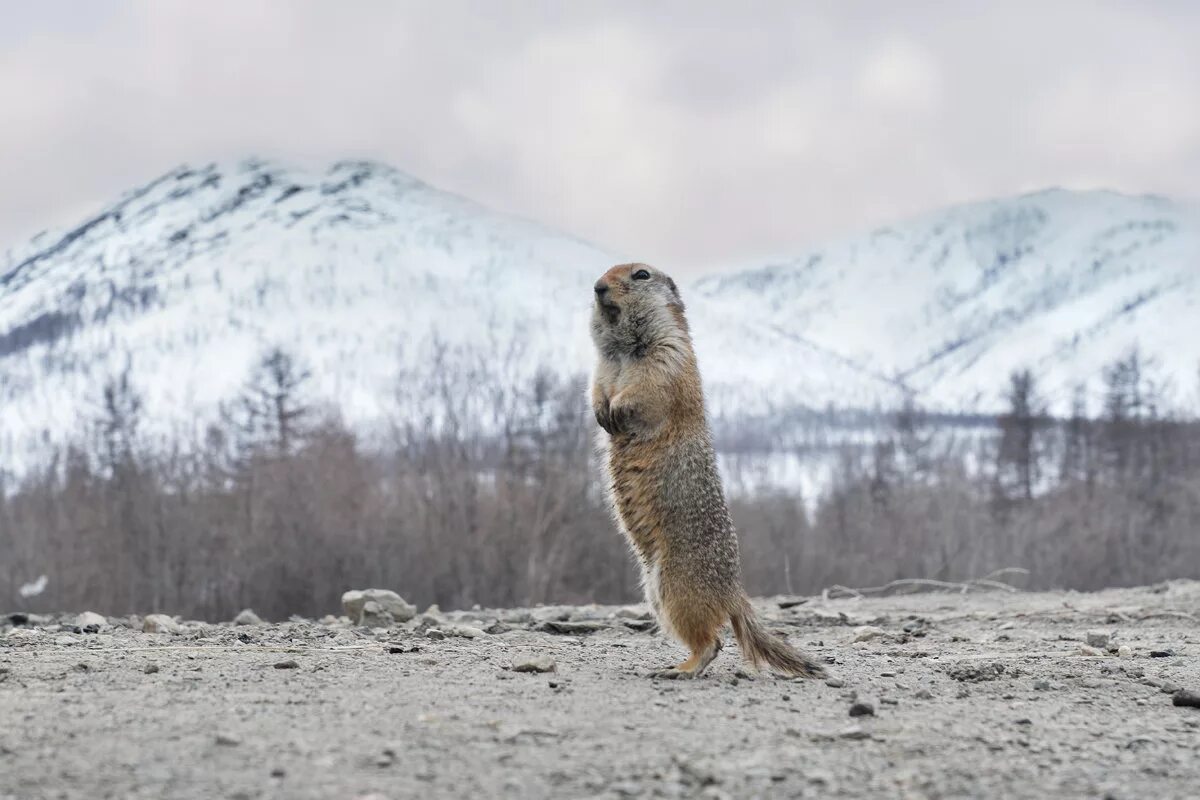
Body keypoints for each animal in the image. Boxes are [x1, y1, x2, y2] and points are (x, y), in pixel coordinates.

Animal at [588, 266, 825, 681]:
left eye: (641, 274)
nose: (598, 287)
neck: (623, 350)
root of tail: (734, 593)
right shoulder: (601, 367)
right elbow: (596, 387)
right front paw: (602, 409)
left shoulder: (668, 357)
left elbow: (647, 389)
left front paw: (618, 407)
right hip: (656, 592)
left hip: (679, 588)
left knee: (712, 642)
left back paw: (680, 669)